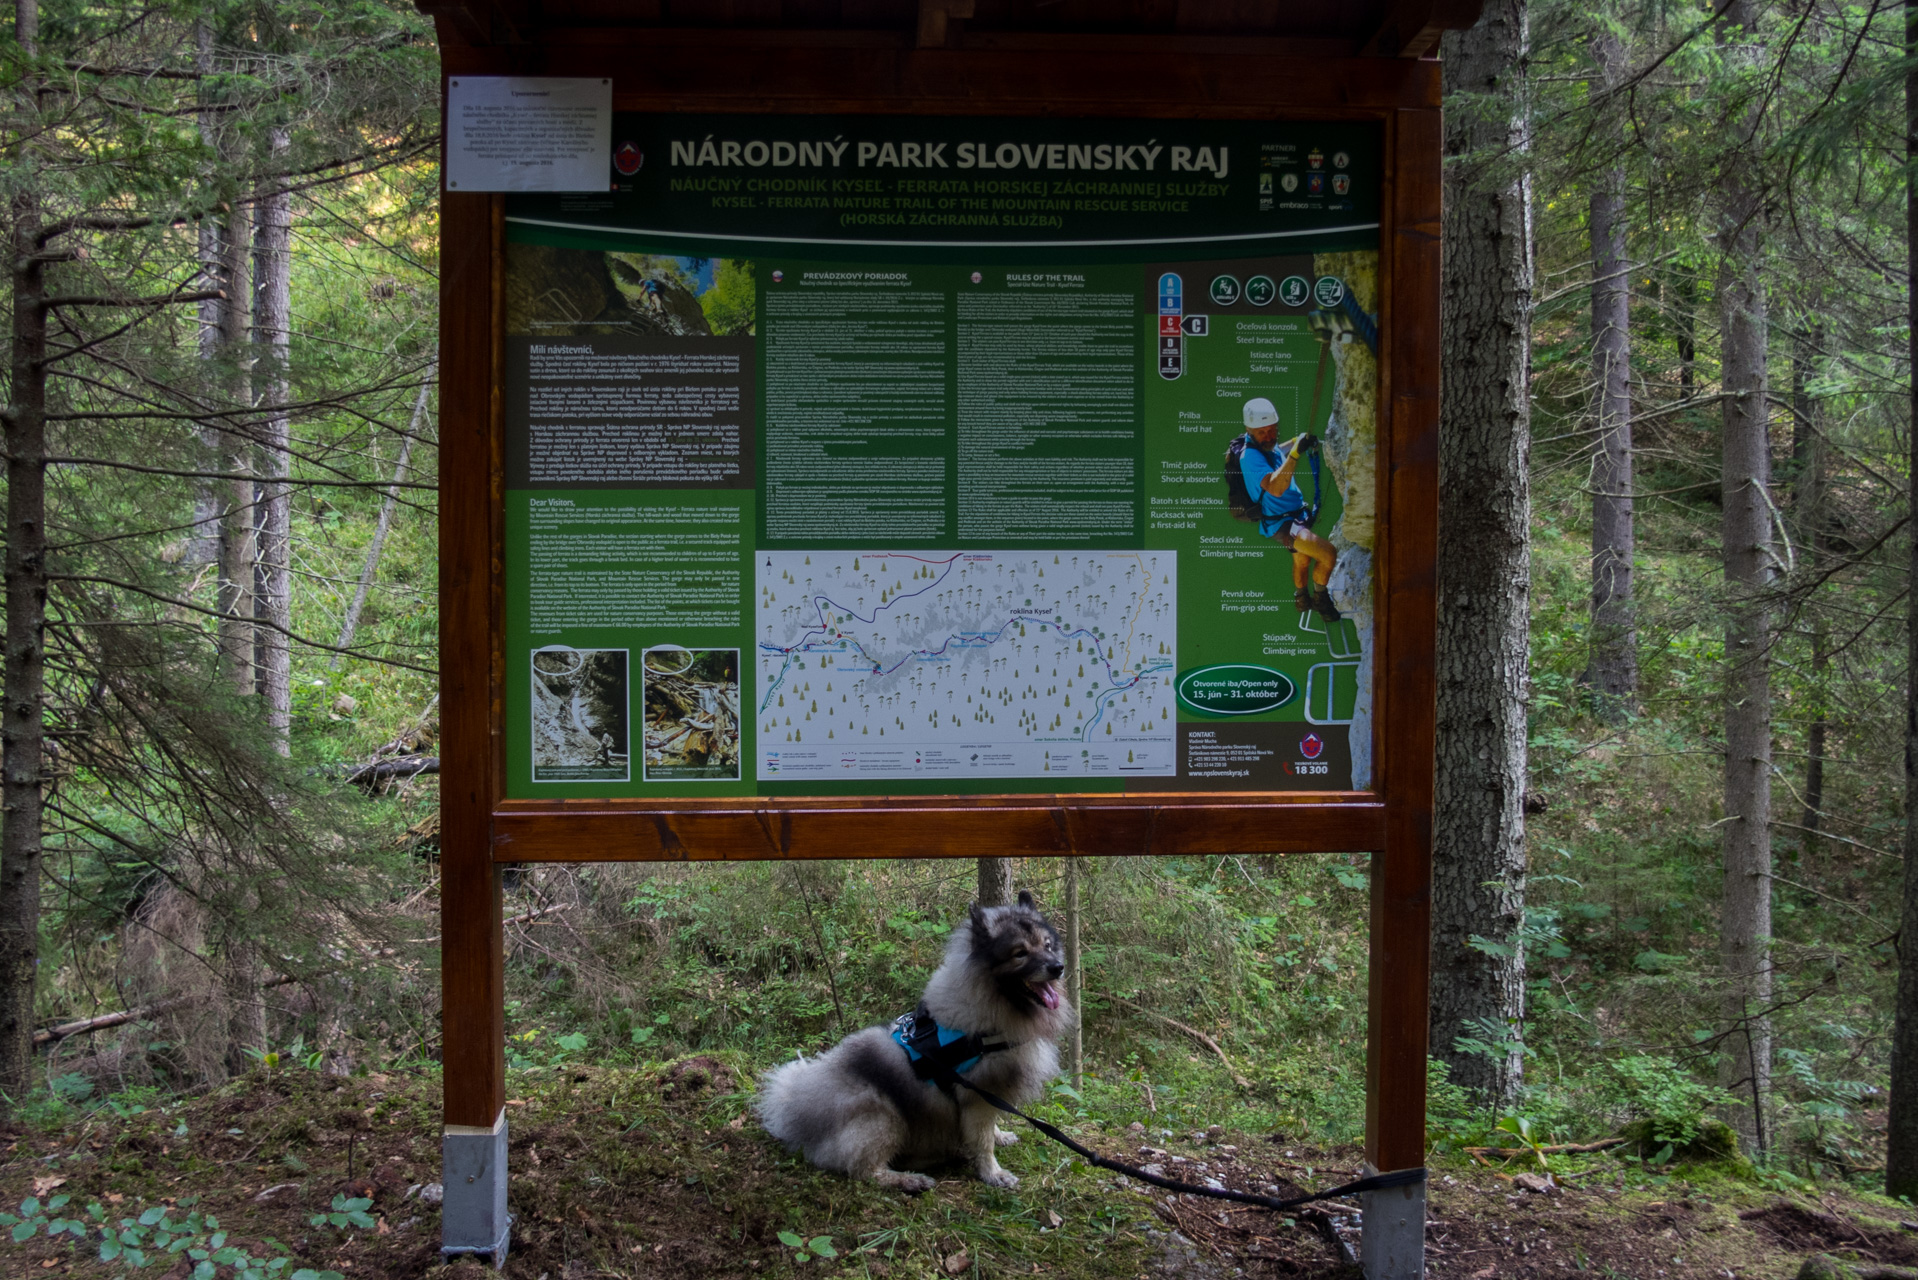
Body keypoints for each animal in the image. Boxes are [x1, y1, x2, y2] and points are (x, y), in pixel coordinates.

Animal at [751, 890, 1081, 1189]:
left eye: (1048, 946)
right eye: (1020, 953)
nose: (1058, 967)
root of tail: (802, 1115)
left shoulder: (988, 1095)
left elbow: (990, 1128)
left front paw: (1000, 1138)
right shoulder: (976, 1094)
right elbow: (982, 1140)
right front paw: (993, 1173)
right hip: (884, 1117)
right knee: (864, 1171)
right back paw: (909, 1180)